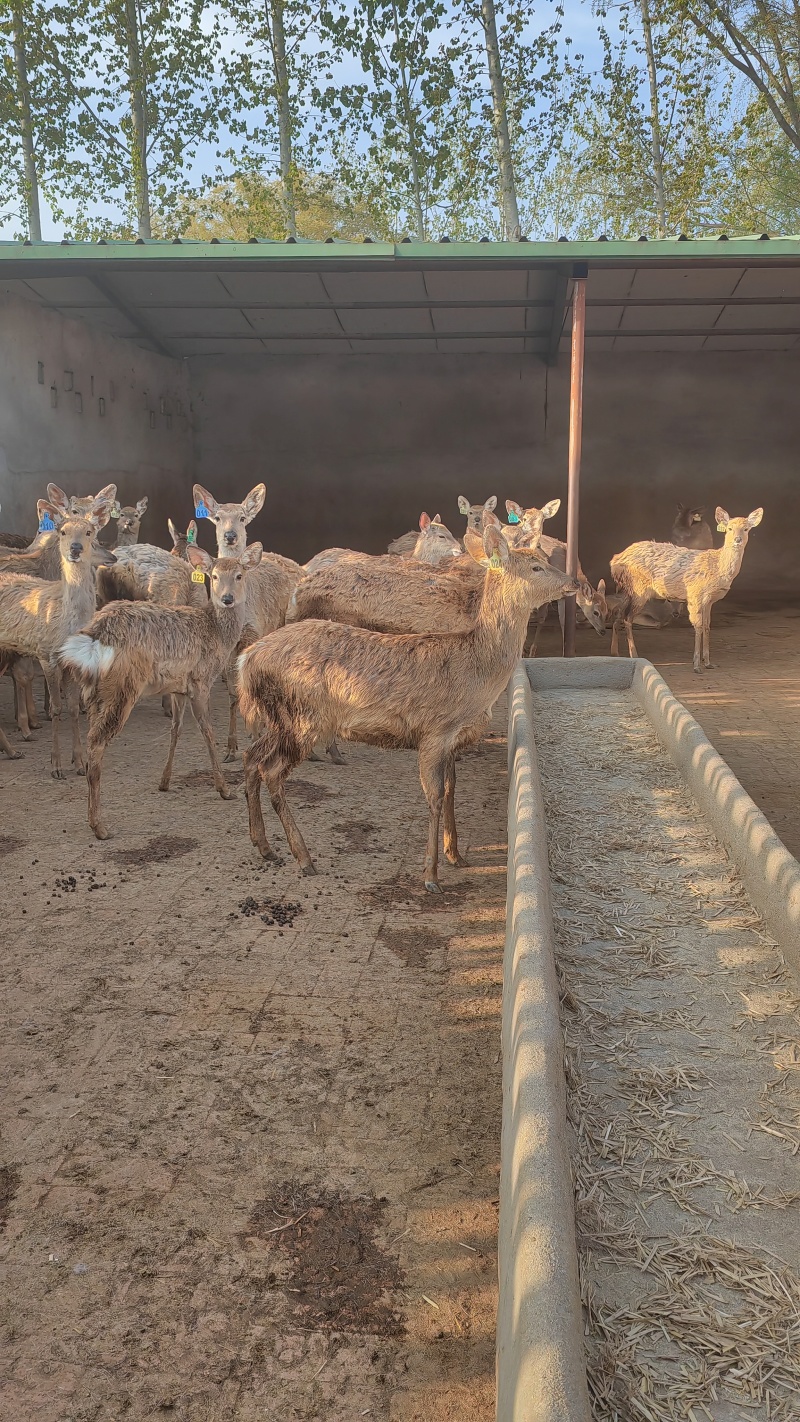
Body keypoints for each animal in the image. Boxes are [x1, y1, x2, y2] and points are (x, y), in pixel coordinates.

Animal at [0, 498, 115, 777]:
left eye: (90, 532)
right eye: (62, 531)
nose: (75, 549)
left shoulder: (72, 660)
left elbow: (72, 708)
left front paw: (81, 763)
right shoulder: (45, 653)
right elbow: (55, 708)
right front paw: (56, 765)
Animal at [59, 545, 263, 840]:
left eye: (239, 575)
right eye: (214, 576)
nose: (227, 599)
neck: (217, 636)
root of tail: (95, 636)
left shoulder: (178, 686)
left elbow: (175, 729)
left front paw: (164, 782)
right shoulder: (200, 680)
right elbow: (207, 731)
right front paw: (224, 789)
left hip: (94, 691)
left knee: (90, 735)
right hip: (122, 687)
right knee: (97, 742)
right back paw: (100, 827)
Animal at [238, 514, 580, 891]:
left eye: (545, 558)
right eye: (536, 566)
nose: (575, 582)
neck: (478, 673)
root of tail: (247, 660)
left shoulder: (453, 739)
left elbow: (451, 790)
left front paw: (456, 855)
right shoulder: (434, 730)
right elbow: (434, 796)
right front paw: (430, 876)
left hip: (278, 718)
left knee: (251, 757)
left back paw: (265, 846)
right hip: (303, 717)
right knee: (271, 771)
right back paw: (303, 857)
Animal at [610, 507, 763, 672]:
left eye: (746, 529)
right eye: (729, 528)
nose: (737, 540)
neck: (717, 568)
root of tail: (614, 560)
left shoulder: (709, 600)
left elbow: (707, 626)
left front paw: (708, 663)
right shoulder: (695, 593)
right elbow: (698, 626)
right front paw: (696, 665)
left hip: (627, 589)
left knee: (619, 614)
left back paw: (615, 653)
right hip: (639, 588)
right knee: (628, 618)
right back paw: (634, 654)